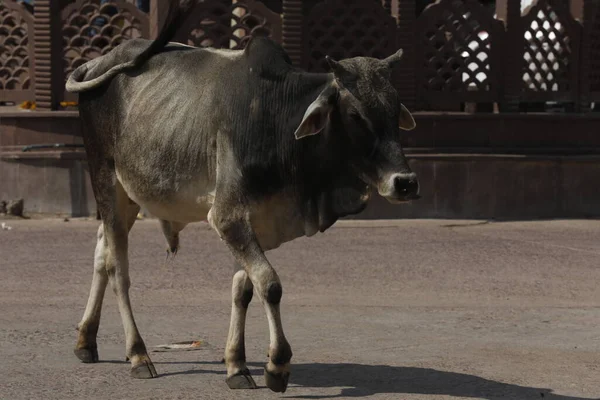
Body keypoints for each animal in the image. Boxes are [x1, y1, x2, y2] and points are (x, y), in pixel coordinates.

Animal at [65, 0, 420, 394]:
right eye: (355, 114)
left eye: (395, 110)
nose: (405, 182)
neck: (277, 120)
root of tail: (98, 62)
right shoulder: (227, 216)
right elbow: (270, 284)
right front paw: (277, 365)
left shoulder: (256, 222)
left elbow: (243, 290)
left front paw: (236, 364)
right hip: (105, 178)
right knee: (118, 268)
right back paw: (139, 355)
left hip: (128, 195)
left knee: (102, 252)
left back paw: (86, 341)